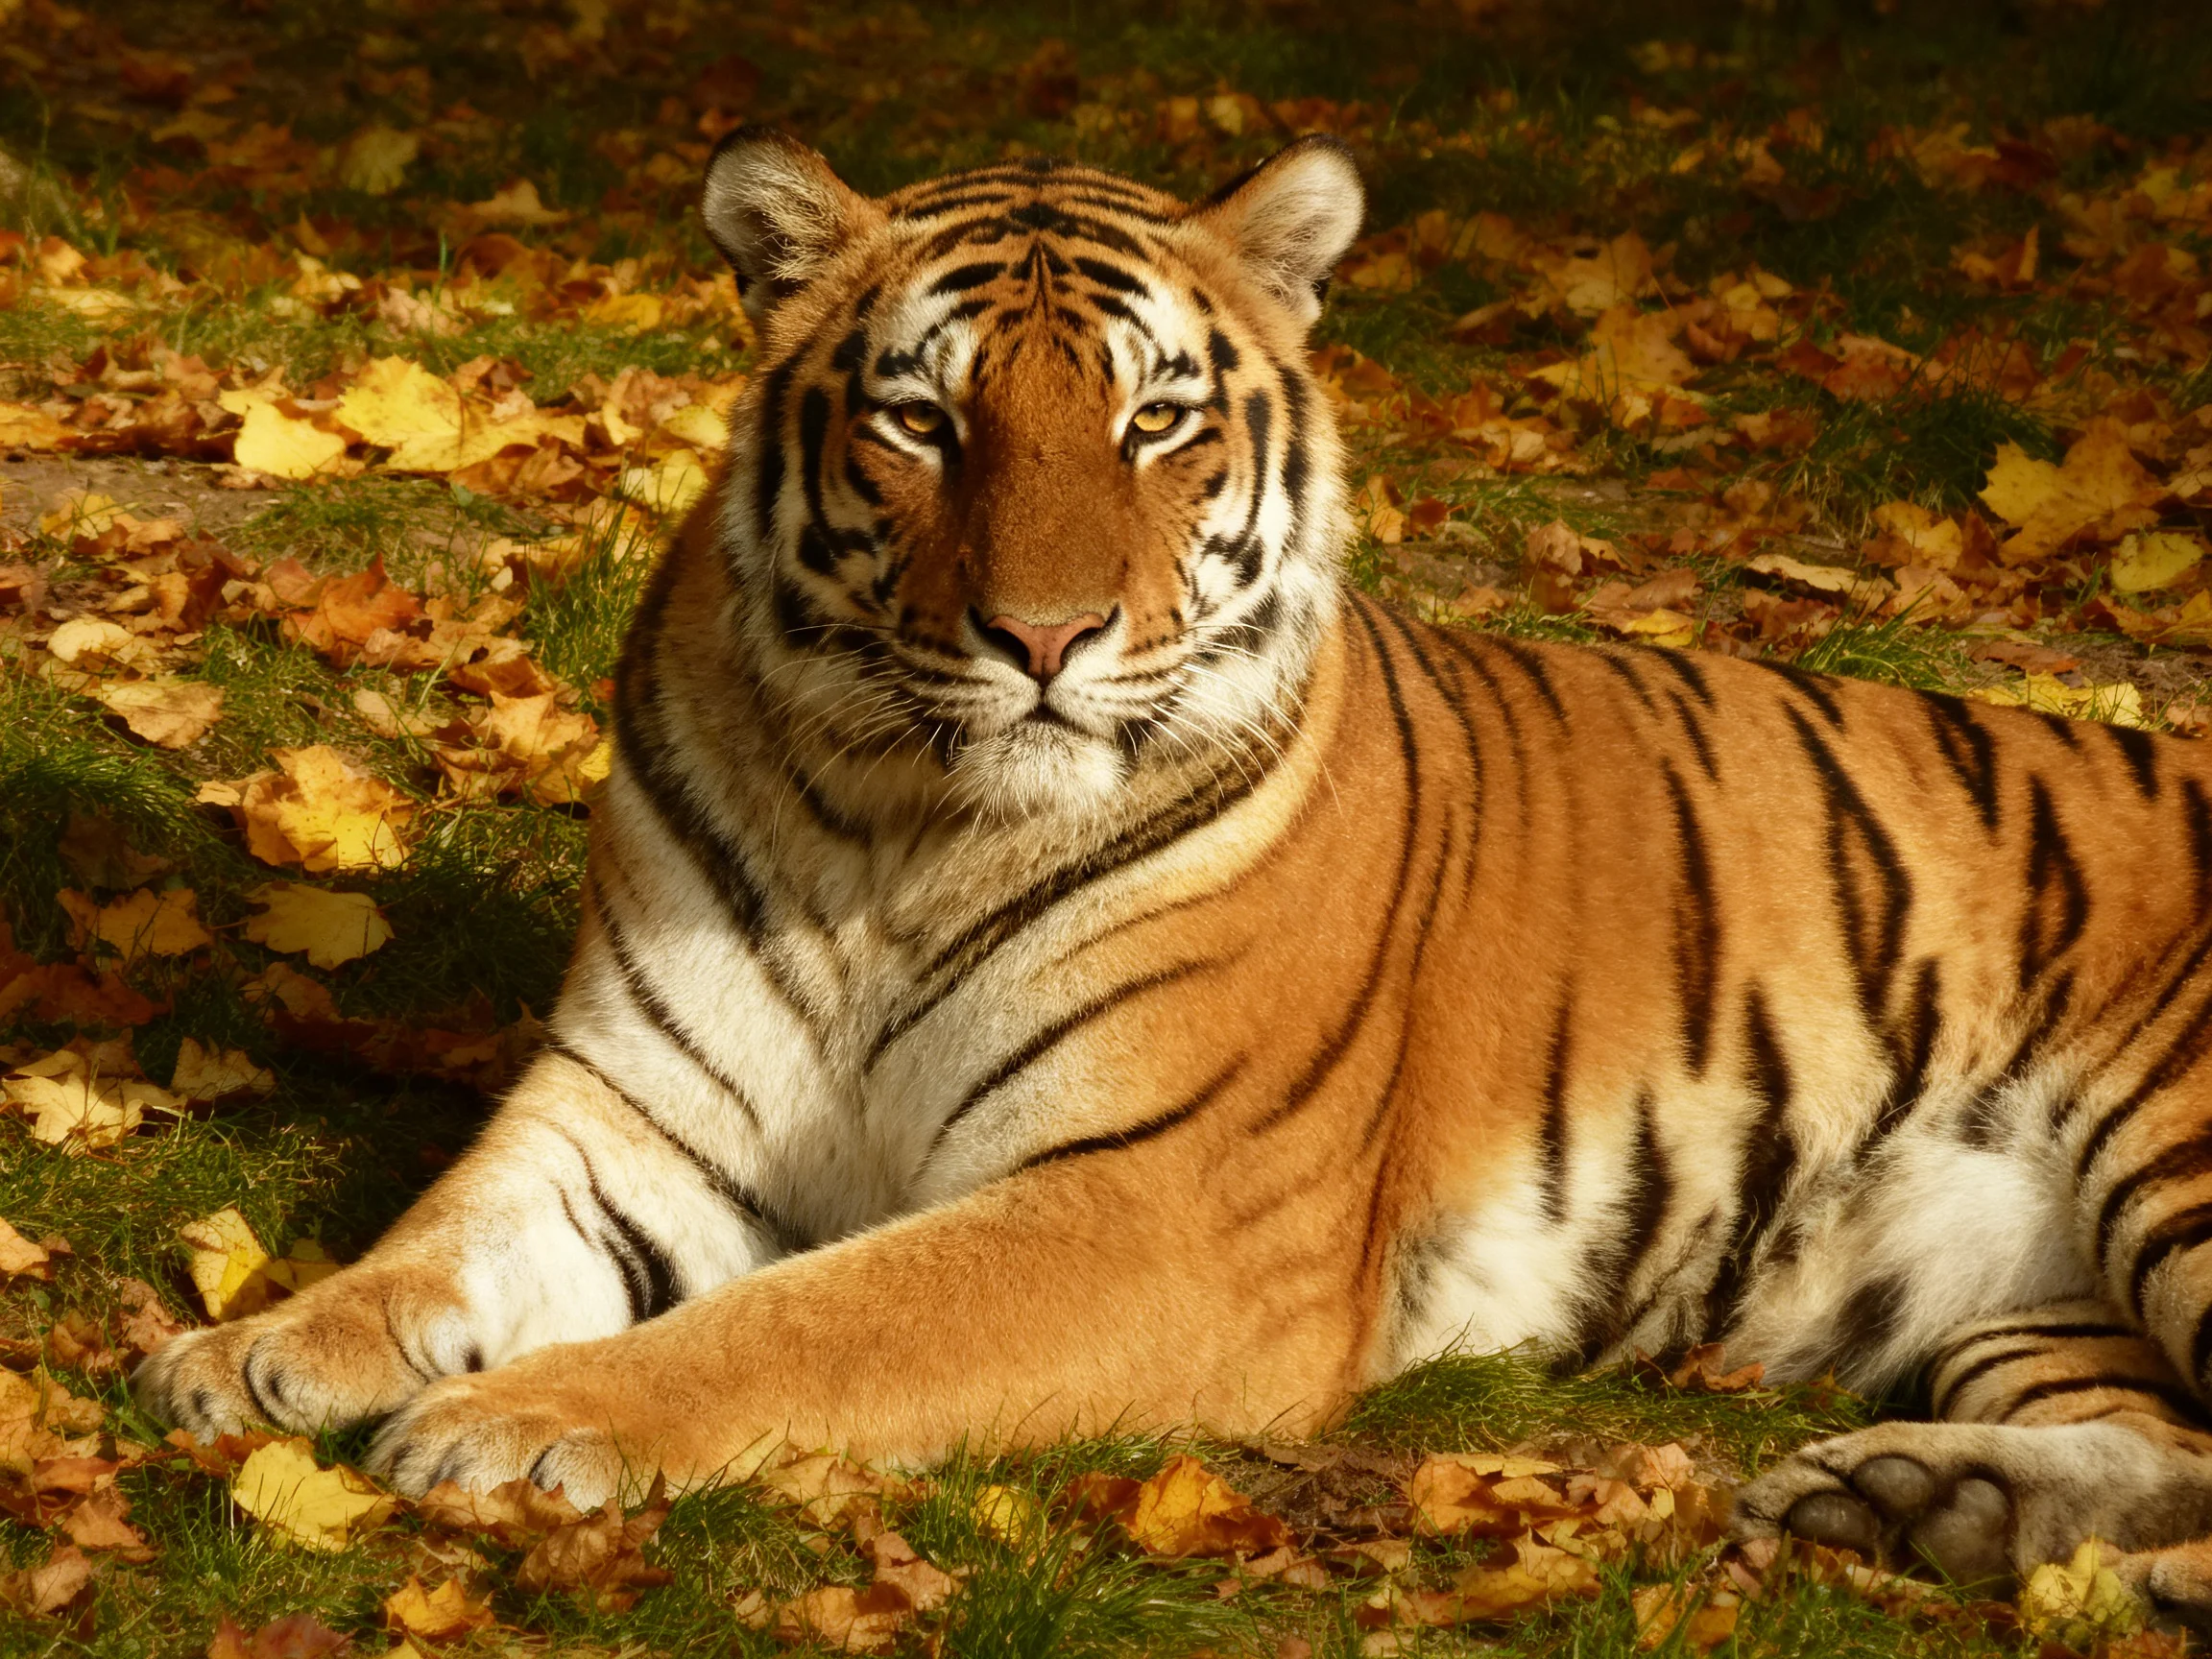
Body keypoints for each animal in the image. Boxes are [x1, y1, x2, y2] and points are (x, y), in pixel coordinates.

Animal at [135, 126, 2212, 1616]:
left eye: (1154, 420)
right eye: (920, 419)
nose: (1045, 638)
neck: (893, 828)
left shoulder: (1157, 1203)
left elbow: (810, 1321)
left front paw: (512, 1422)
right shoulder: (638, 1109)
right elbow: (441, 1239)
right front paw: (252, 1356)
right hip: (2030, 1305)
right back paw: (1922, 1499)